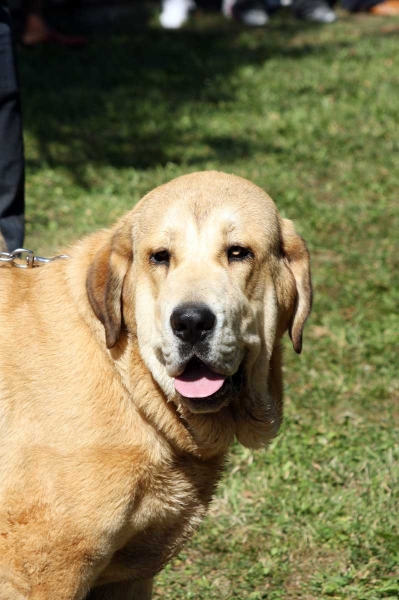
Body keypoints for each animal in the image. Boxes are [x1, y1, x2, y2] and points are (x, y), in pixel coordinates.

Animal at [0, 171, 312, 596]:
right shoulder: (52, 576)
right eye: (160, 256)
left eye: (238, 252)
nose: (191, 322)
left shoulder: (129, 577)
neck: (128, 381)